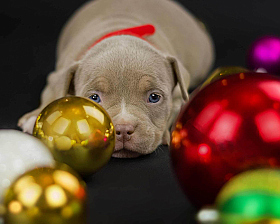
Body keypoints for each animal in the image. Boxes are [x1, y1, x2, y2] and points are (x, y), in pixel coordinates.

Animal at [18, 0, 214, 158]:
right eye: (94, 98)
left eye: (154, 97)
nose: (123, 129)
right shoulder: (58, 75)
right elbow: (52, 92)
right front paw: (36, 116)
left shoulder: (179, 95)